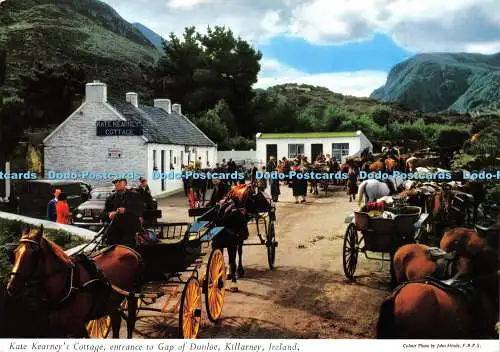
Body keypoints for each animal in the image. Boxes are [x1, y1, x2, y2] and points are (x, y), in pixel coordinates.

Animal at [5, 226, 143, 338]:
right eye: (14, 253)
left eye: (33, 254)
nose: (11, 286)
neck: (67, 283)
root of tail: (130, 249)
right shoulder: (56, 326)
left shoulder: (77, 327)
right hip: (112, 303)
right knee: (116, 321)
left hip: (131, 296)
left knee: (130, 322)